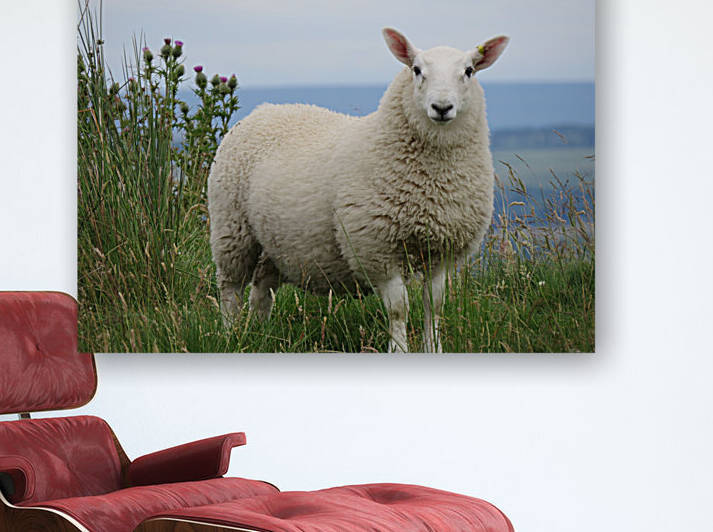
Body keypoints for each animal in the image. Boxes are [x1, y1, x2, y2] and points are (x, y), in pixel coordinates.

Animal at [207, 28, 509, 352]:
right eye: (416, 70)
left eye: (468, 71)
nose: (441, 108)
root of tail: (263, 110)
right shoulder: (376, 247)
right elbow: (398, 308)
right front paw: (399, 350)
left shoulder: (441, 251)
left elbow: (436, 305)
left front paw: (434, 348)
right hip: (232, 228)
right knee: (230, 288)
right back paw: (230, 334)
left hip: (274, 239)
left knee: (262, 286)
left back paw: (259, 333)